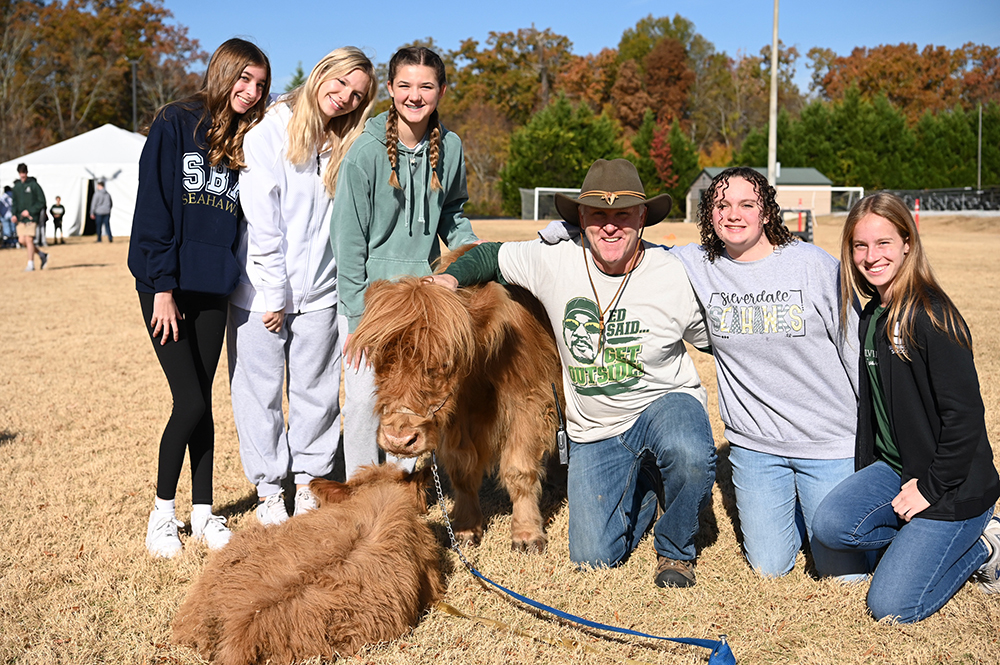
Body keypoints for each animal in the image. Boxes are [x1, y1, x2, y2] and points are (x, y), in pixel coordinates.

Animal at [350, 270, 564, 548]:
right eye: (379, 358)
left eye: (445, 363)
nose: (399, 439)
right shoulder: (456, 419)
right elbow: (462, 469)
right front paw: (465, 527)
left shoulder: (529, 403)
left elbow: (519, 469)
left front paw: (526, 533)